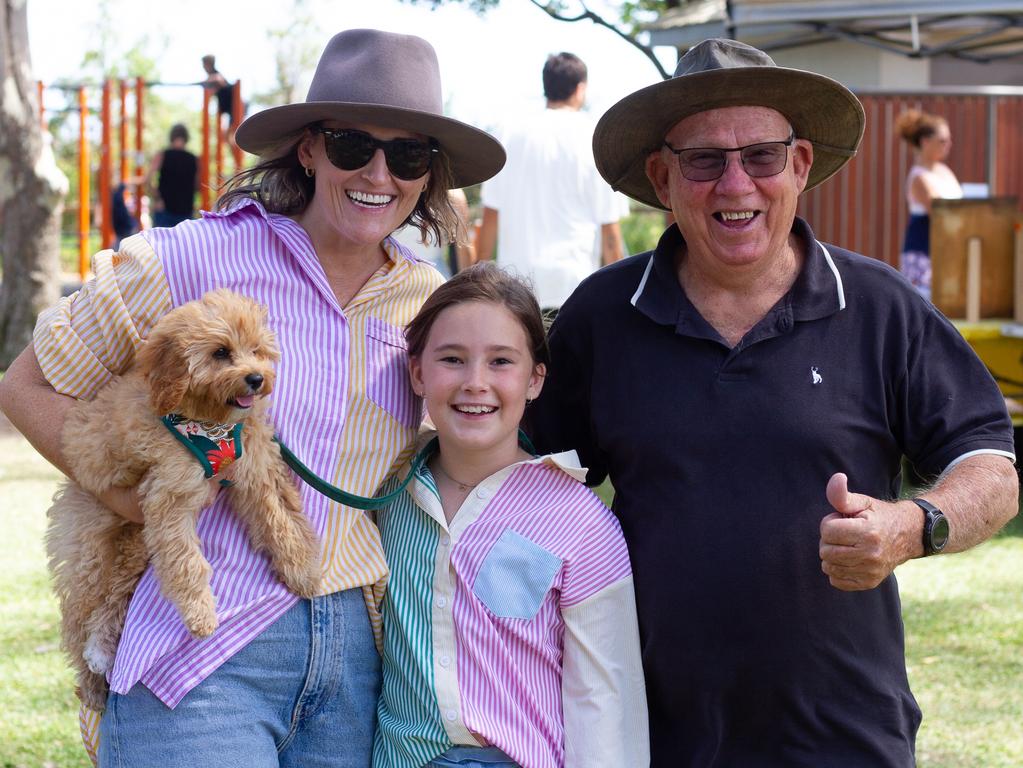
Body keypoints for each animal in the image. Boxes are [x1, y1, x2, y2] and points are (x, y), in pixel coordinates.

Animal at [45, 290, 319, 715]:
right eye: (221, 352)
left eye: (256, 350)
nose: (256, 379)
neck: (211, 423)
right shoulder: (170, 497)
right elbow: (187, 561)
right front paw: (201, 616)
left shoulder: (254, 471)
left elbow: (277, 520)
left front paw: (301, 570)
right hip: (92, 553)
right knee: (77, 621)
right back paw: (91, 683)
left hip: (133, 542)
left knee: (113, 598)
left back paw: (102, 649)